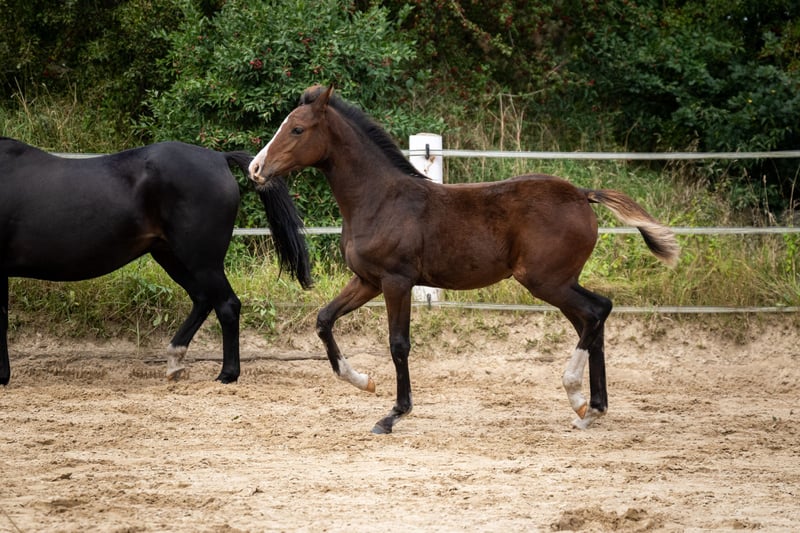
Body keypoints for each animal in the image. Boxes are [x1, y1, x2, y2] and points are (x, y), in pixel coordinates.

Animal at [1, 137, 312, 386]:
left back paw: (227, 374)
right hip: (171, 256)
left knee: (226, 305)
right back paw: (175, 362)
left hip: (201, 260)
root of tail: (218, 158)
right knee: (203, 300)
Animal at [249, 85, 680, 433]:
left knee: (595, 314)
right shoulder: (368, 280)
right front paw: (363, 380)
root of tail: (582, 195)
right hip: (560, 282)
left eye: (297, 129)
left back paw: (577, 397)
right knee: (596, 317)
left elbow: (398, 344)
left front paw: (393, 414)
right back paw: (593, 409)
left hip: (546, 281)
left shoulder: (396, 281)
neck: (380, 199)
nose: (255, 168)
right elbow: (324, 319)